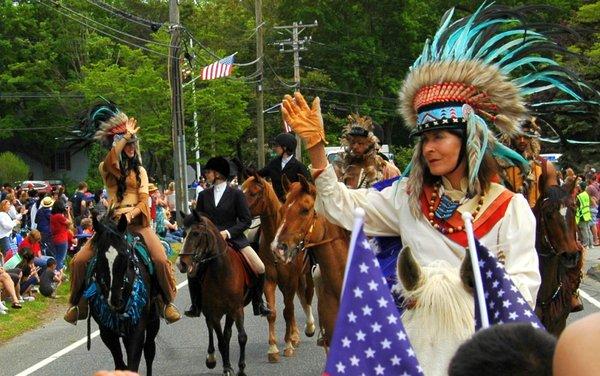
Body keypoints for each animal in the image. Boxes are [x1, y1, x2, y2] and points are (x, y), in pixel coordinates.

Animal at [84, 213, 161, 374]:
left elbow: (133, 362)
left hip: (153, 320)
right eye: (100, 259)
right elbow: (120, 363)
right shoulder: (106, 331)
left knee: (149, 350)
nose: (115, 300)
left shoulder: (137, 328)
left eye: (125, 258)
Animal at [178, 213, 251, 376]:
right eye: (183, 234)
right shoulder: (214, 312)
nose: (182, 264)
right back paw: (211, 358)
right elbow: (220, 340)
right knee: (211, 328)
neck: (221, 273)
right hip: (208, 311)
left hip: (230, 312)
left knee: (228, 332)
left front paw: (241, 368)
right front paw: (227, 367)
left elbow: (241, 337)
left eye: (196, 233)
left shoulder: (237, 309)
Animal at [241, 173, 316, 362]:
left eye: (253, 193)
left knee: (305, 297)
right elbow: (274, 312)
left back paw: (306, 329)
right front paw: (273, 348)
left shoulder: (290, 279)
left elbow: (288, 311)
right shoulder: (270, 280)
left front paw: (288, 345)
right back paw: (295, 335)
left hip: (303, 276)